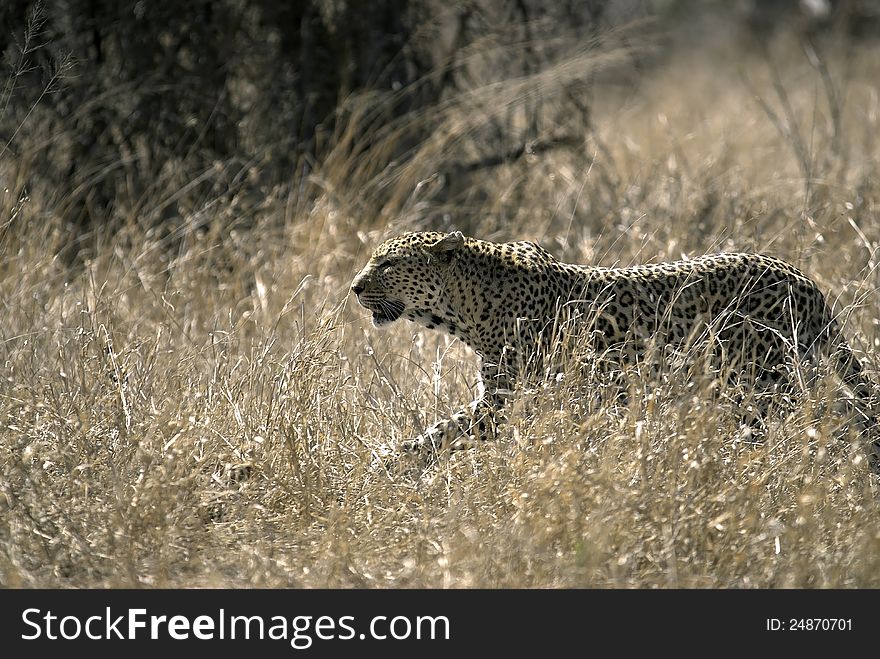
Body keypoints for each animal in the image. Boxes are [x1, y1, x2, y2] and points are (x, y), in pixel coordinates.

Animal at [350, 232, 880, 474]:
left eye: (388, 264)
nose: (354, 287)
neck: (464, 307)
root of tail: (804, 279)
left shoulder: (505, 399)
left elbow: (445, 430)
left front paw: (389, 461)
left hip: (758, 383)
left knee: (821, 418)